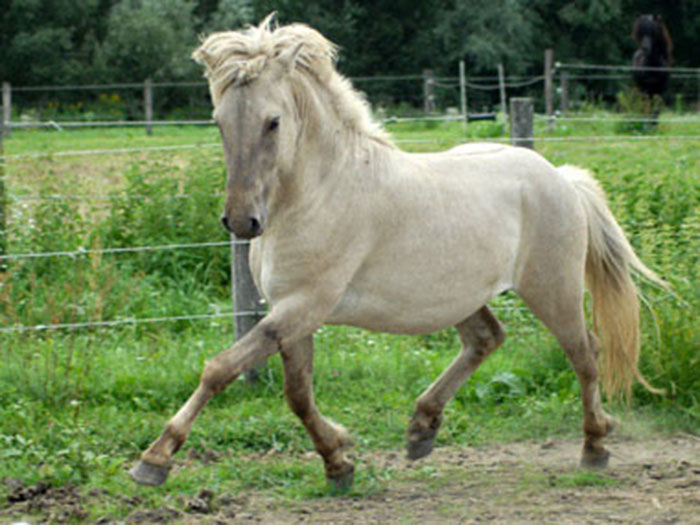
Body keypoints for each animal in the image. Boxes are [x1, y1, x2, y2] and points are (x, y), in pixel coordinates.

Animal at [129, 15, 665, 490]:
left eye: (273, 122)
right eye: (219, 122)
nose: (242, 222)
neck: (318, 193)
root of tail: (561, 177)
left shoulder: (304, 305)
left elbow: (220, 369)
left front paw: (154, 459)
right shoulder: (292, 313)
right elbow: (298, 394)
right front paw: (338, 463)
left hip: (552, 288)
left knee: (584, 353)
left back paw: (595, 446)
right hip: (461, 296)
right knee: (487, 339)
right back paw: (421, 429)